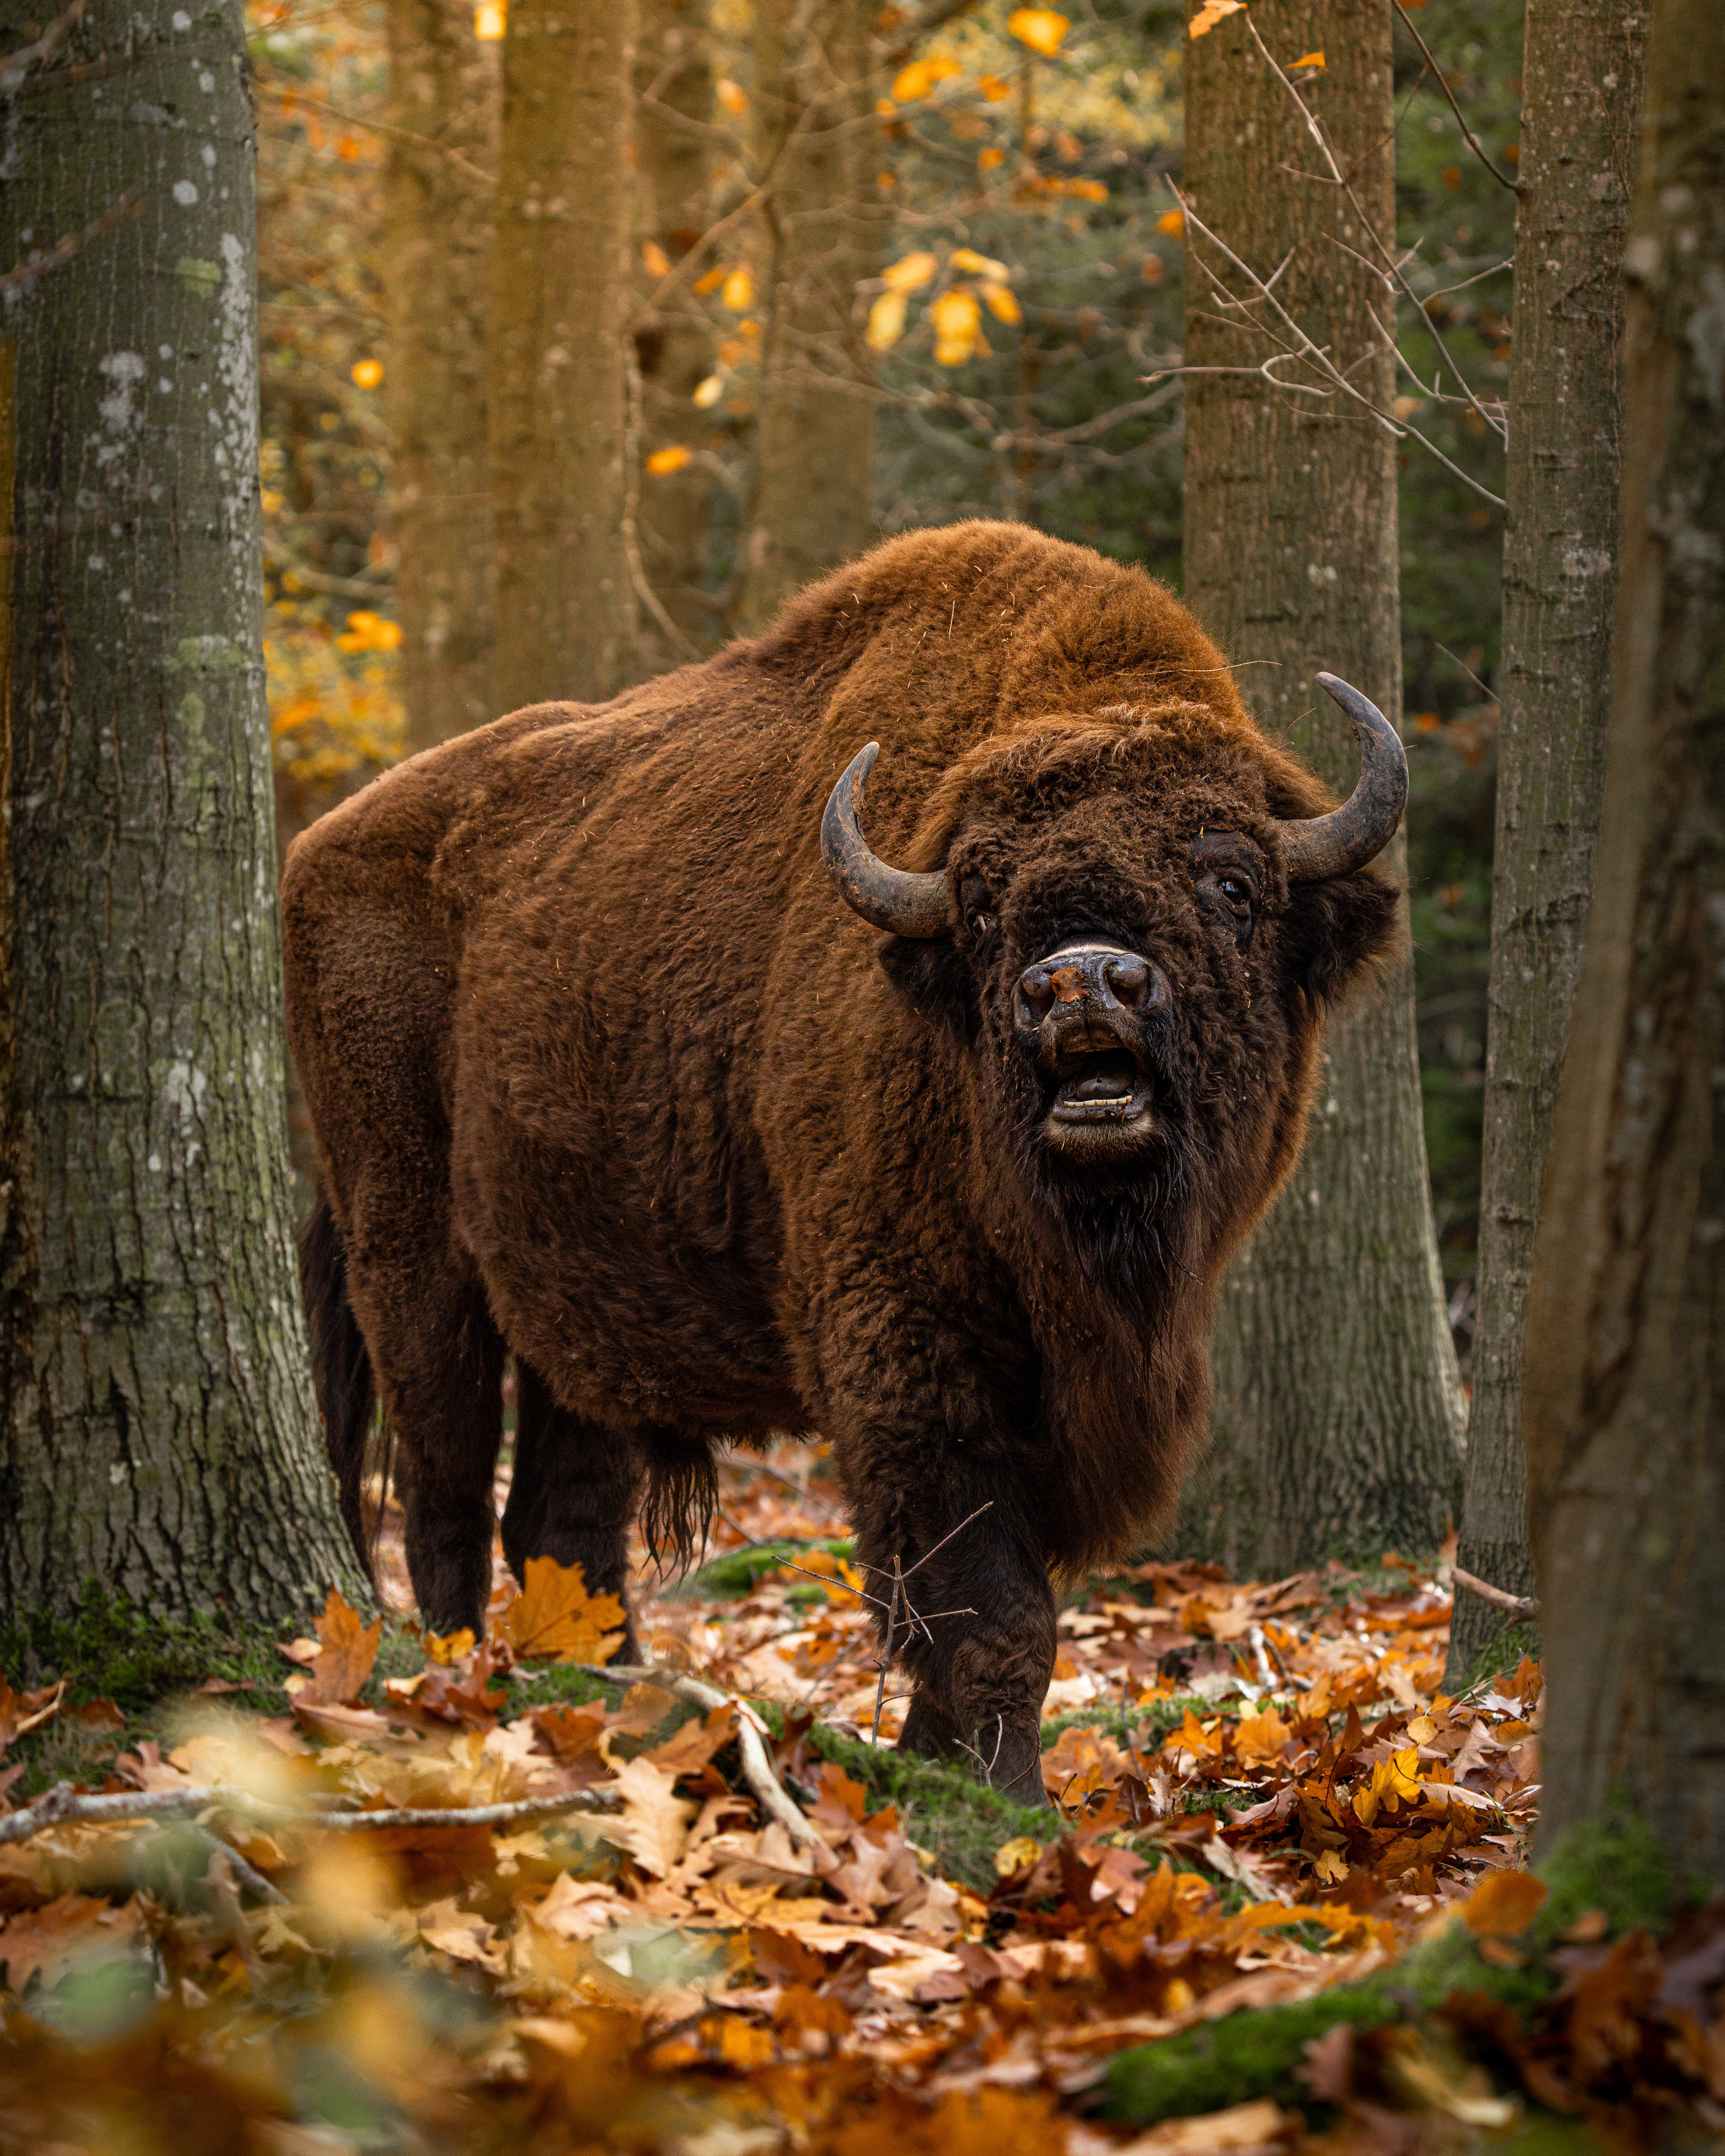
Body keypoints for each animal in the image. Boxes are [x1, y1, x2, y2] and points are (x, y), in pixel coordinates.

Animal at [282, 520, 1402, 1804]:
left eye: (1232, 883)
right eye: (980, 902)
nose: (1079, 984)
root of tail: (315, 851)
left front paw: (935, 1762)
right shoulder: (906, 1352)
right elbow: (992, 1603)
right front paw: (1004, 1791)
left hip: (571, 1302)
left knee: (562, 1520)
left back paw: (608, 1697)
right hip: (410, 1257)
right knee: (445, 1491)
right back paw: (459, 1688)